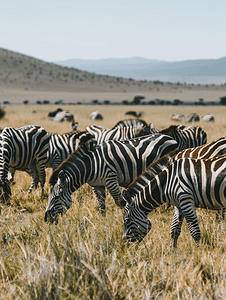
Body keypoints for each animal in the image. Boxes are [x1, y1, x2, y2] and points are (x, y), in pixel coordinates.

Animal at [44, 132, 178, 221]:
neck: (91, 165)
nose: (46, 219)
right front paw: (103, 222)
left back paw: (167, 210)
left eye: (56, 198)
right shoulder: (97, 185)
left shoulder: (111, 180)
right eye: (49, 197)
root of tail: (170, 138)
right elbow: (102, 205)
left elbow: (120, 202)